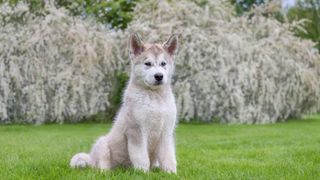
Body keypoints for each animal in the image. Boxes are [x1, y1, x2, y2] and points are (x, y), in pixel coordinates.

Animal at [70, 33, 179, 173]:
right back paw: (106, 172)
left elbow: (168, 157)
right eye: (147, 63)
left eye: (163, 63)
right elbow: (142, 157)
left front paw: (171, 173)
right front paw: (143, 173)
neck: (155, 98)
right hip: (102, 144)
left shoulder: (166, 132)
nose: (159, 76)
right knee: (102, 165)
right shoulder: (136, 131)